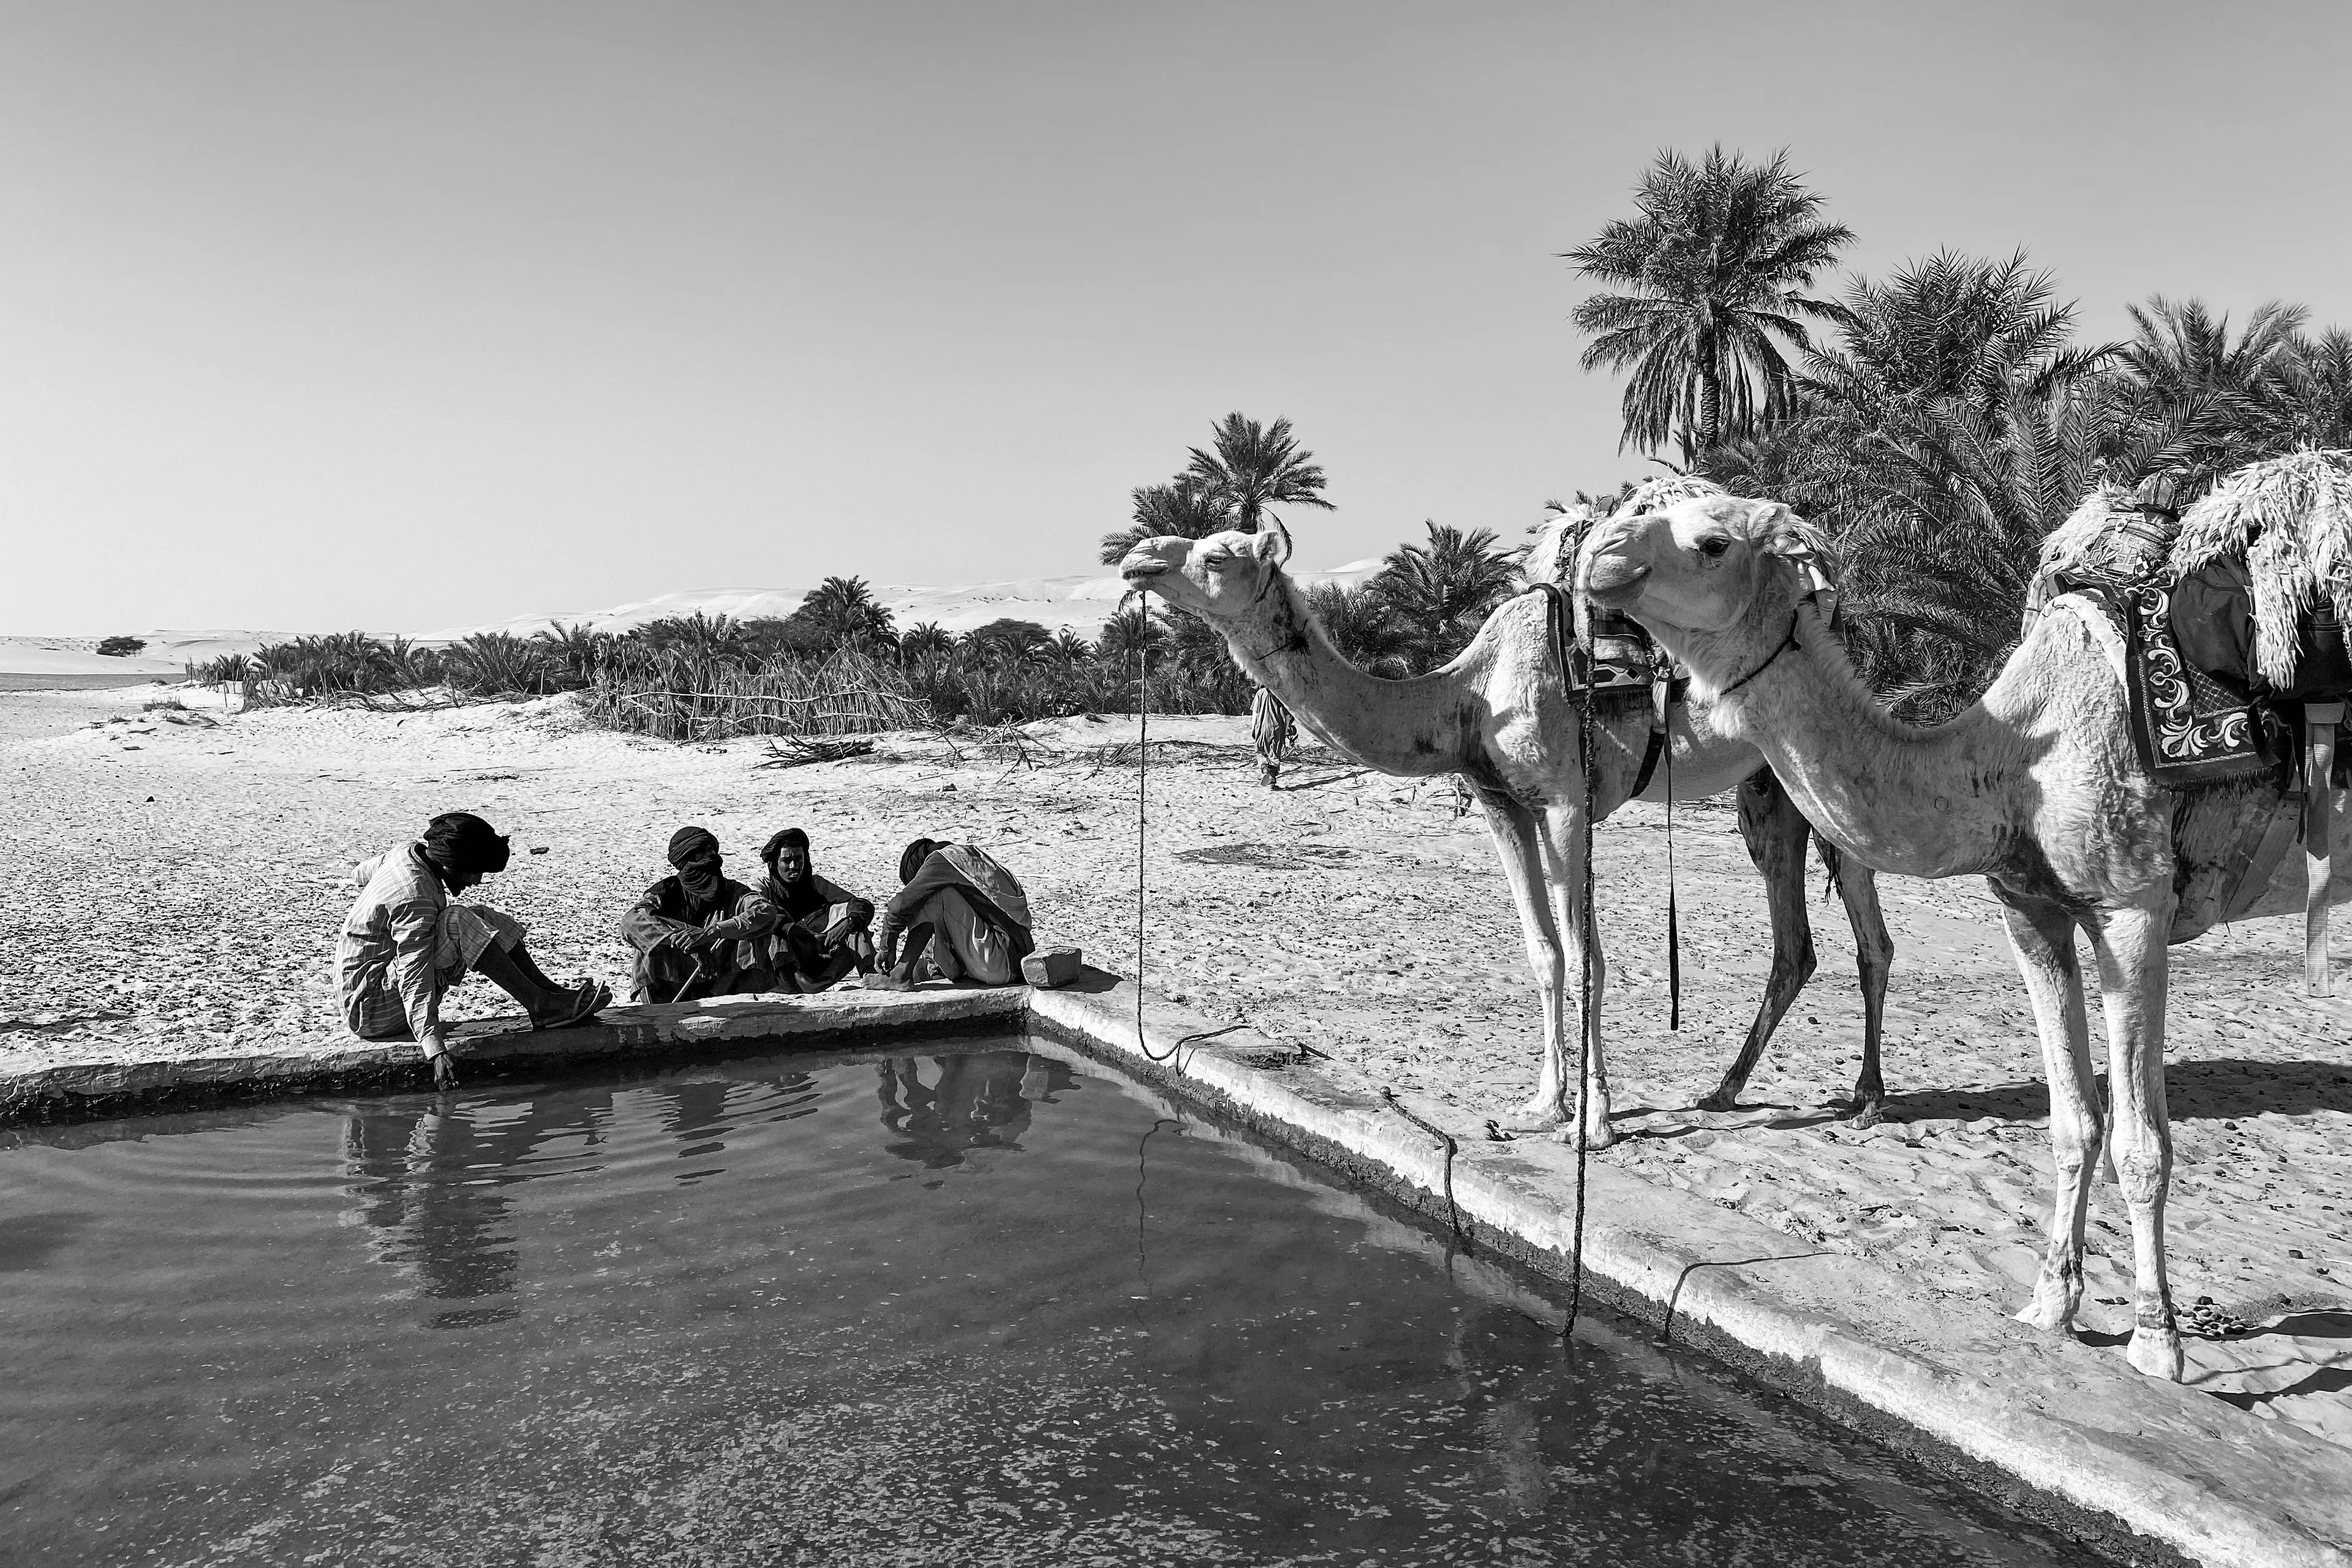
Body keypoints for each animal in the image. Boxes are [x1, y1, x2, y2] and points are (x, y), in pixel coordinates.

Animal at [1117, 517, 1894, 1149]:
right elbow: (1543, 953)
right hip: (1769, 787)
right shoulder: (1504, 804)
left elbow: (1587, 959)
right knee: (1794, 945)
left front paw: (1595, 1122)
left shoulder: (1568, 803)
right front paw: (1544, 1104)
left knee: (1871, 935)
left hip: (1829, 780)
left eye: (1217, 555)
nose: (1137, 560)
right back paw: (1725, 1089)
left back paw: (1867, 1101)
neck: (1469, 696)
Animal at [1579, 491, 2351, 1379]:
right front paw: (2050, 1306)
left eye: (1711, 543)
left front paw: (2157, 1342)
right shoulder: (2029, 907)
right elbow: (2073, 1122)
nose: (1599, 553)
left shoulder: (2133, 908)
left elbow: (2142, 1143)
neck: (2018, 760)